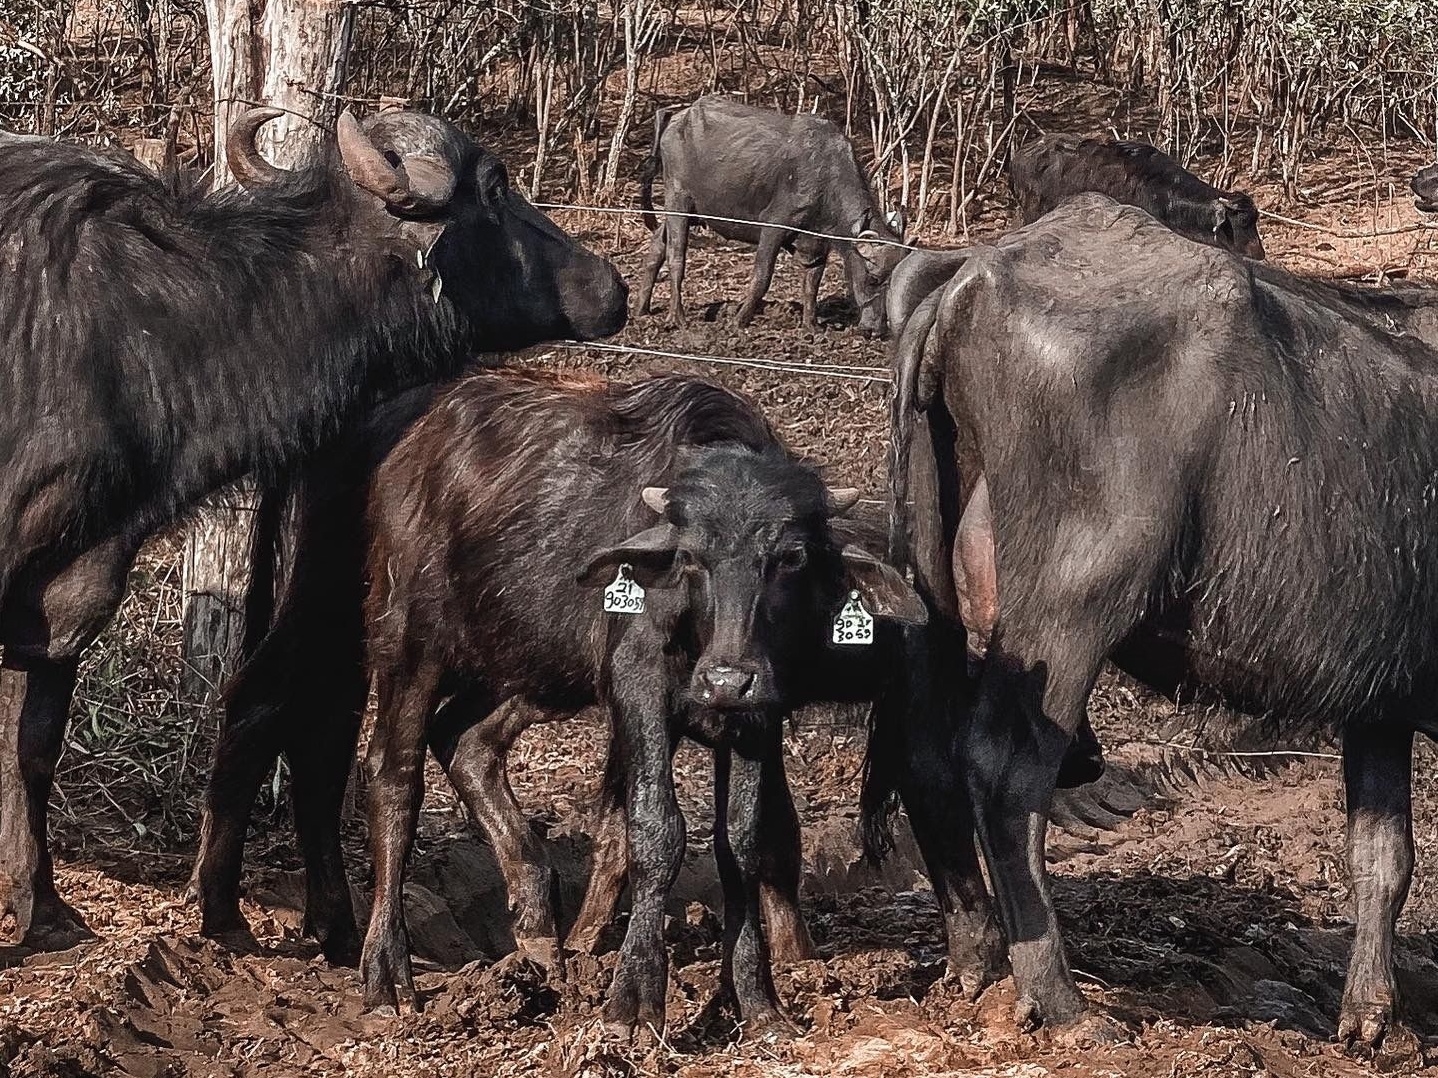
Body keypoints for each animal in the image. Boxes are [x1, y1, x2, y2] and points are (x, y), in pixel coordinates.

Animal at [1, 109, 629, 948]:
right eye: (494, 188)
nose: (612, 286)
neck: (136, 331)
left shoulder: (71, 584)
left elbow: (33, 747)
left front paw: (42, 907)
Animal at [635, 95, 903, 336]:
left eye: (893, 281)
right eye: (873, 279)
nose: (876, 330)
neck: (826, 177)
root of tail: (677, 117)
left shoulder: (819, 243)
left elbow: (812, 283)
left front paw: (811, 326)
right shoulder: (774, 228)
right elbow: (762, 276)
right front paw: (738, 320)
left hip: (690, 211)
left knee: (657, 247)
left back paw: (641, 307)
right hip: (677, 200)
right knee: (676, 256)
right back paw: (677, 317)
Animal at [885, 192, 1438, 1046]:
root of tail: (972, 275)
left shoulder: (1381, 703)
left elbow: (1383, 854)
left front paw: (1371, 1018)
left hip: (936, 587)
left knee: (926, 759)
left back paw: (975, 960)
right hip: (1071, 610)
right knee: (1006, 772)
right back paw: (1061, 1001)